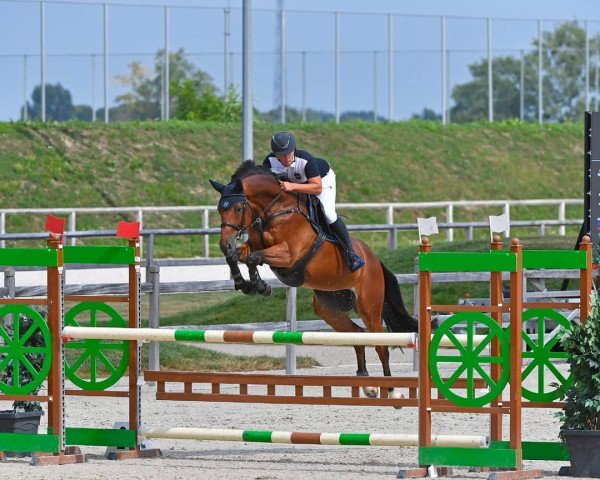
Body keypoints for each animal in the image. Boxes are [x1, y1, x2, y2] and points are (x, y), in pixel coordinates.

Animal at [211, 160, 418, 398]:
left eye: (237, 208)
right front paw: (250, 284)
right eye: (219, 209)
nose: (224, 244)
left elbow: (252, 256)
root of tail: (374, 261)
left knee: (380, 345)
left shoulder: (288, 254)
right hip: (329, 307)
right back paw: (366, 382)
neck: (275, 210)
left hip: (369, 306)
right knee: (356, 334)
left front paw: (258, 285)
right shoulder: (254, 244)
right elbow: (240, 256)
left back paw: (392, 391)